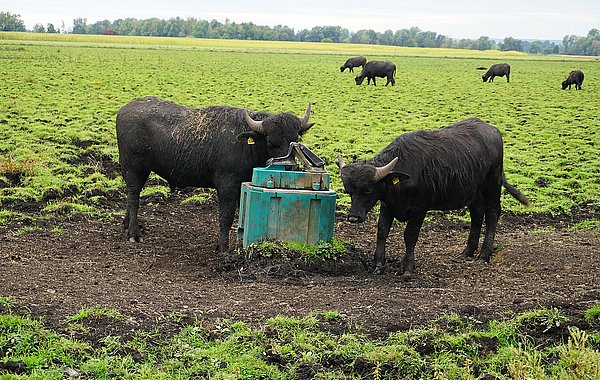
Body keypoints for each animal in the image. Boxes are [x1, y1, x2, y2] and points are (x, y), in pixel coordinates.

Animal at [116, 97, 314, 252]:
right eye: (272, 142)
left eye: (295, 140)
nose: (288, 166)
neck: (247, 145)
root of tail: (124, 110)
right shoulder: (227, 185)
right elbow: (226, 215)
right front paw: (223, 246)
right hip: (134, 169)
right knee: (133, 196)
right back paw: (134, 233)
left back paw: (127, 224)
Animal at [338, 117, 528, 278]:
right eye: (349, 191)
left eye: (368, 190)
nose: (353, 217)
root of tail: (493, 130)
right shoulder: (387, 205)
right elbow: (382, 231)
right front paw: (378, 265)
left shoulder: (419, 209)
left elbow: (410, 235)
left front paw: (407, 268)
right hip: (473, 191)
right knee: (477, 214)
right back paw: (467, 252)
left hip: (492, 184)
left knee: (492, 213)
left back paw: (483, 255)